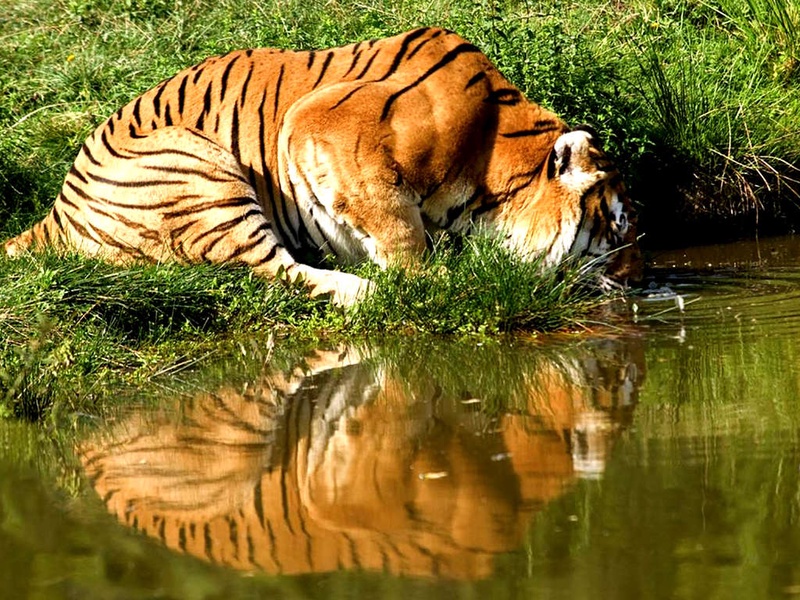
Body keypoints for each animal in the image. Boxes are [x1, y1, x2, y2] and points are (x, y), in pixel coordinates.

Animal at [3, 27, 640, 304]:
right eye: (615, 227)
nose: (641, 282)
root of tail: (53, 212)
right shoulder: (321, 120)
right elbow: (396, 225)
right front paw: (430, 277)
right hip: (198, 165)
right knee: (273, 269)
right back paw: (374, 288)